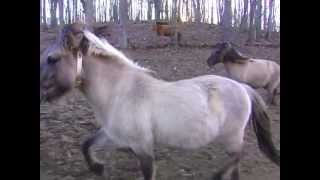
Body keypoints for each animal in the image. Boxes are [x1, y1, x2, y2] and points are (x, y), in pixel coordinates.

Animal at [40, 23, 280, 180]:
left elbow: (148, 173)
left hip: (232, 136)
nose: (42, 94)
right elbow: (86, 144)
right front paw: (98, 168)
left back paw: (216, 175)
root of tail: (243, 88)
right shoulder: (115, 135)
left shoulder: (142, 146)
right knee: (236, 165)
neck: (120, 92)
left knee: (238, 156)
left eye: (52, 58)